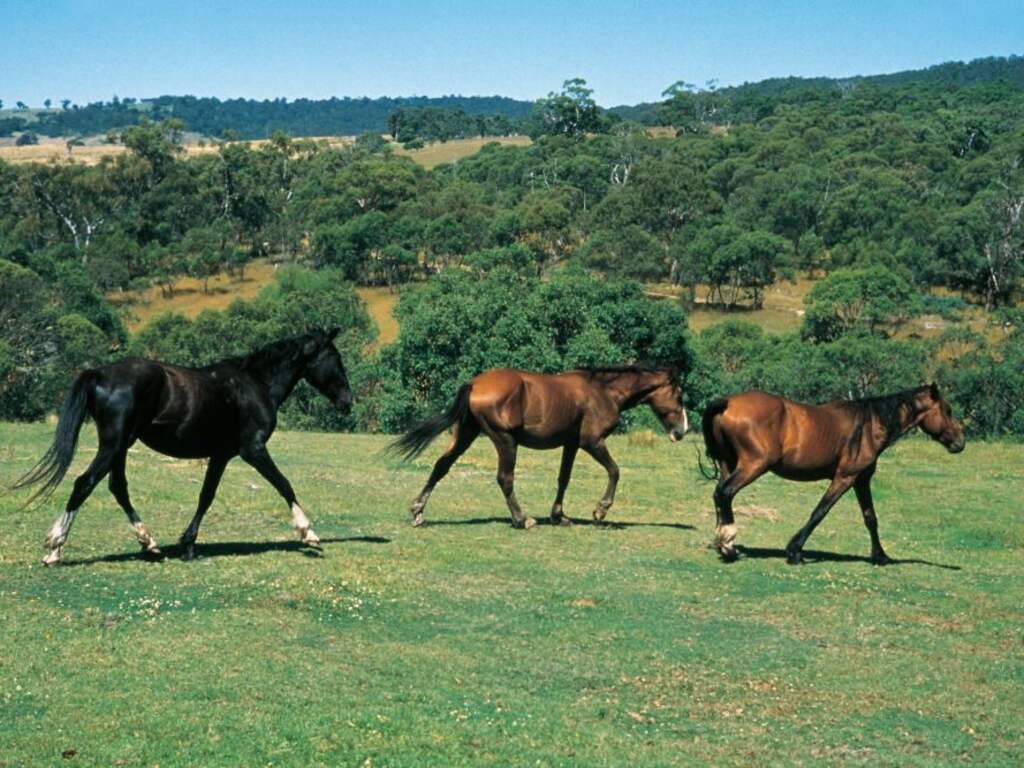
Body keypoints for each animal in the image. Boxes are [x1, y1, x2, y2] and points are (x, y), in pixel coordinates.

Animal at [14, 329, 352, 565]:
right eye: (336, 360)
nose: (347, 401)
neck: (255, 384)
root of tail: (99, 373)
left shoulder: (220, 455)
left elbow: (206, 496)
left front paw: (187, 544)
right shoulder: (253, 450)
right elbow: (284, 485)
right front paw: (309, 533)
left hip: (121, 447)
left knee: (117, 487)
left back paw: (149, 542)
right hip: (113, 445)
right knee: (85, 483)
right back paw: (55, 549)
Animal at [391, 366, 688, 529]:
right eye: (679, 394)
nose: (681, 431)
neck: (602, 391)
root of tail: (475, 384)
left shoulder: (571, 444)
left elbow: (563, 478)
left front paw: (559, 516)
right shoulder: (591, 442)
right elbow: (615, 471)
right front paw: (601, 510)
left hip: (466, 434)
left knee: (441, 466)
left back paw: (418, 511)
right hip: (505, 440)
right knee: (505, 478)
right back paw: (522, 519)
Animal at [700, 384, 965, 565]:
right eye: (948, 410)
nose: (960, 443)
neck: (869, 426)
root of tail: (727, 402)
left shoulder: (861, 481)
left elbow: (870, 518)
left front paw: (880, 556)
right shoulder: (845, 478)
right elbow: (820, 511)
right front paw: (795, 551)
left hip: (729, 464)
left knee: (718, 495)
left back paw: (724, 543)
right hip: (753, 465)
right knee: (725, 493)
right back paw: (728, 545)